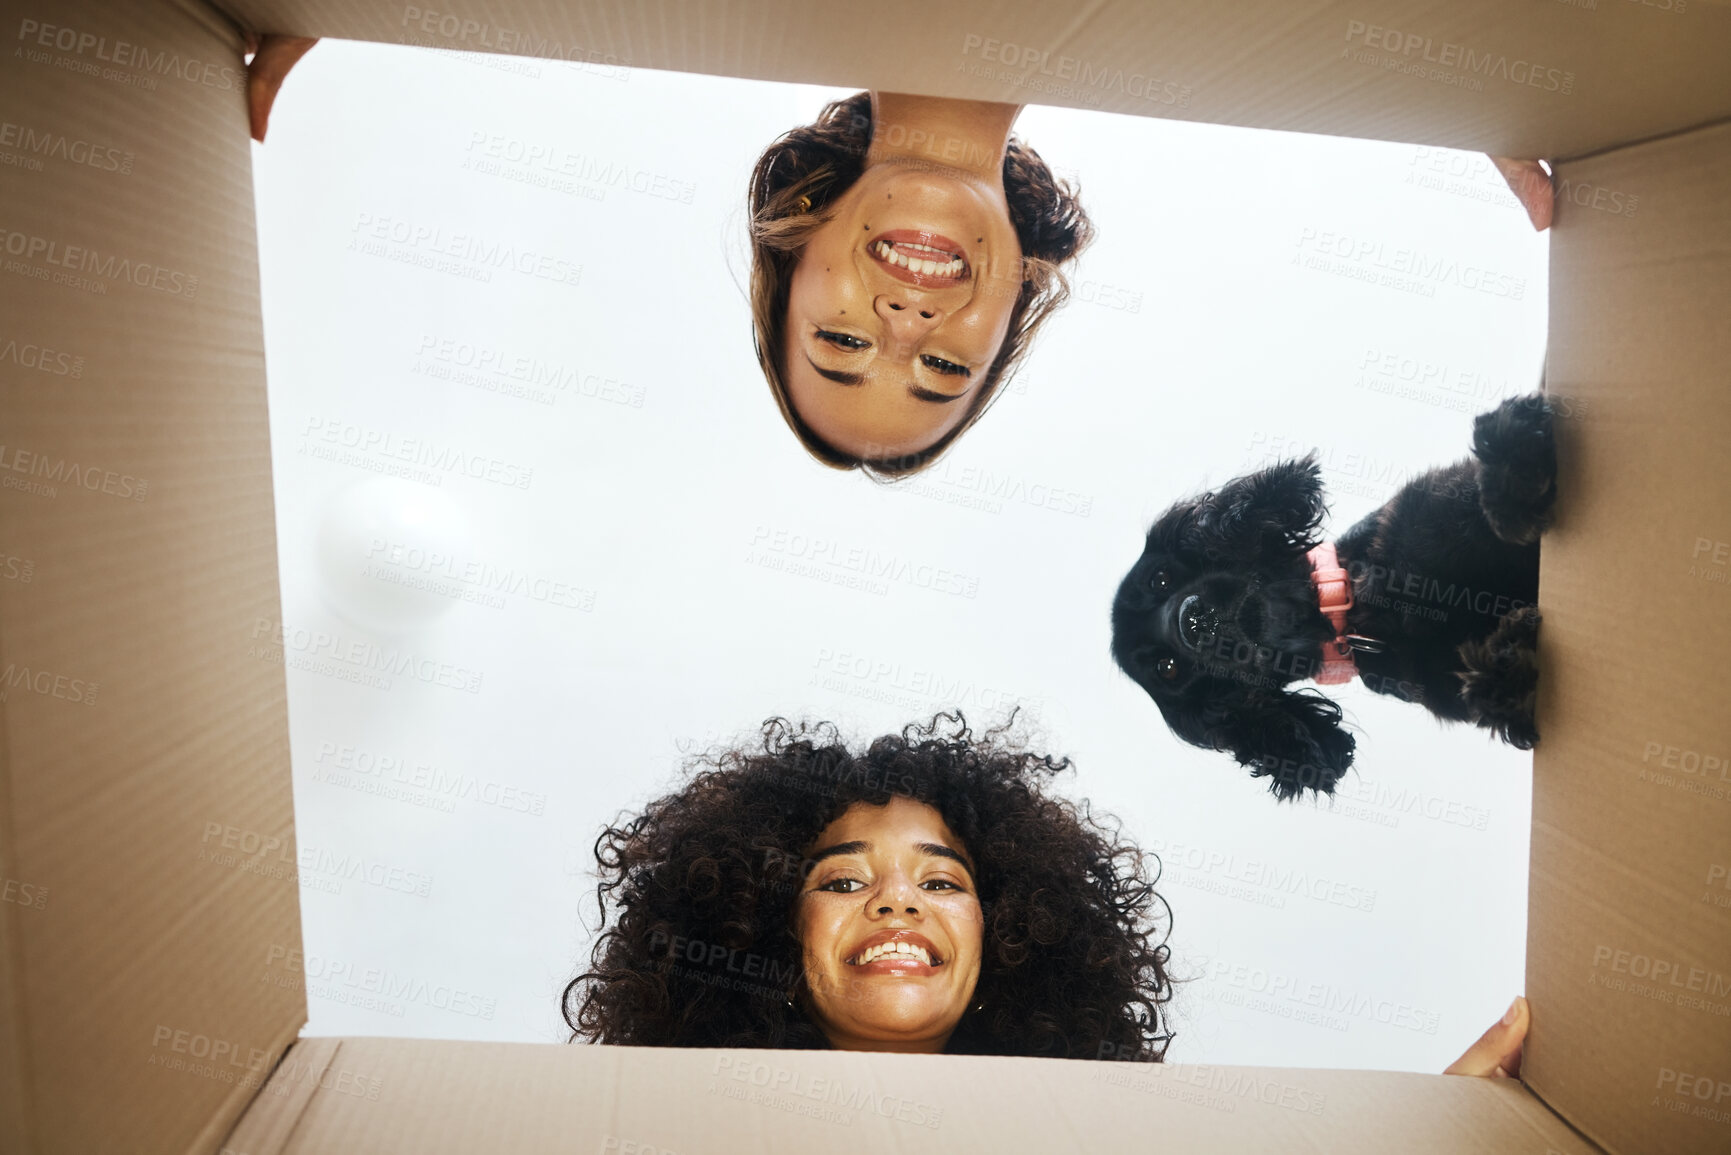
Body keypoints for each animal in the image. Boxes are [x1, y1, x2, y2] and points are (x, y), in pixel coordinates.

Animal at [1114, 393, 1564, 800]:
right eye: (1168, 668)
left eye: (1160, 579)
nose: (1193, 621)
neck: (1364, 615)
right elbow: (1491, 693)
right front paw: (1512, 658)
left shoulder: (1434, 508)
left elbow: (1494, 512)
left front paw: (1517, 452)